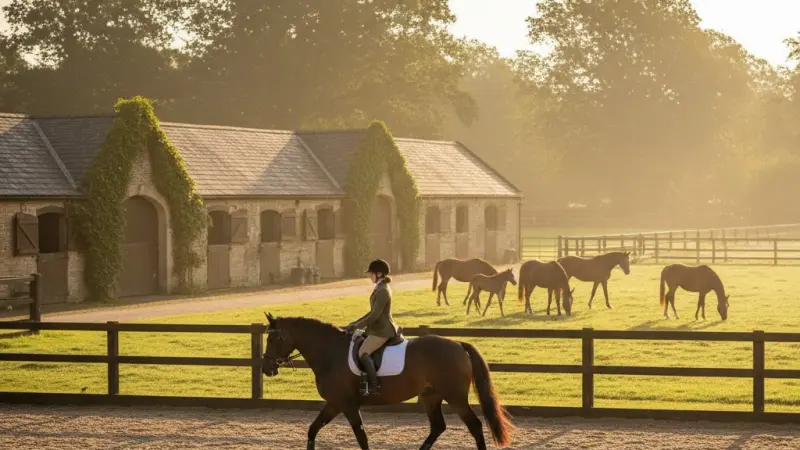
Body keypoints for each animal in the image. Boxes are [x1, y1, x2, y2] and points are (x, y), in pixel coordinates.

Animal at [262, 313, 514, 450]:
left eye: (273, 339)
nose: (267, 368)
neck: (330, 353)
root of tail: (458, 345)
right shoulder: (335, 403)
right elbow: (313, 429)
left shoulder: (347, 405)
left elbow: (361, 437)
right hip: (430, 397)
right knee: (438, 427)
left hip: (455, 397)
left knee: (474, 425)